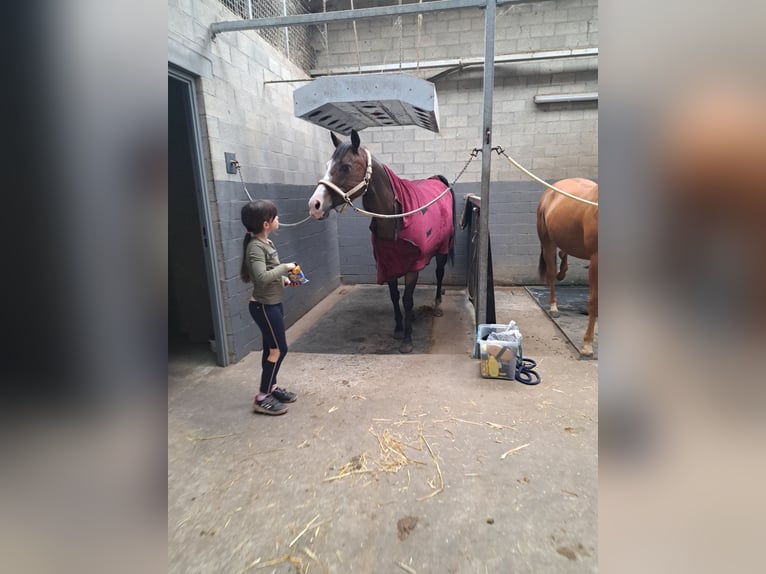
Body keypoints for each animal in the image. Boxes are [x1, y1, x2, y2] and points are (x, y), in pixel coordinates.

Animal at [308, 131, 456, 356]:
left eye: (345, 167)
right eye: (327, 165)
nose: (315, 205)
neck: (395, 216)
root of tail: (438, 181)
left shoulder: (413, 267)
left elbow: (407, 299)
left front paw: (407, 340)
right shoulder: (389, 263)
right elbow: (395, 296)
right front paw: (399, 328)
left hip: (443, 249)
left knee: (439, 274)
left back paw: (438, 305)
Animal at [536, 180, 596, 358]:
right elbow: (594, 302)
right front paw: (587, 346)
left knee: (564, 252)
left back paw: (562, 273)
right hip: (547, 241)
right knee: (551, 273)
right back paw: (554, 307)